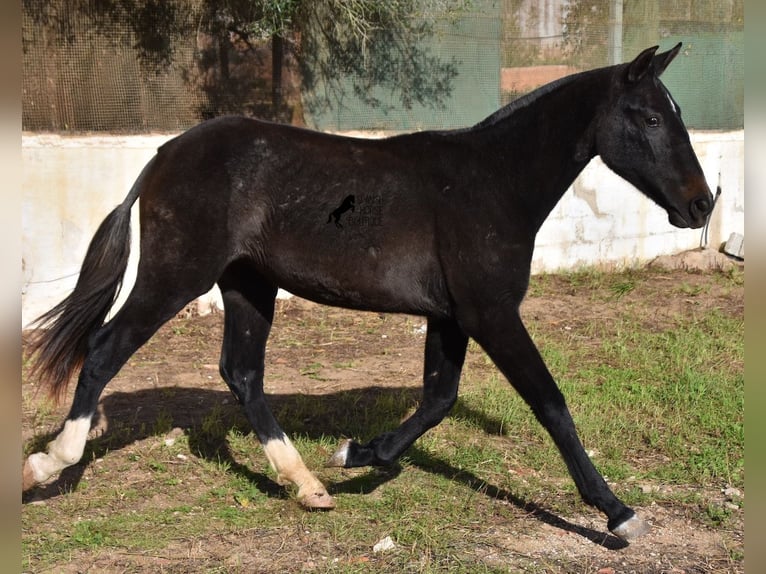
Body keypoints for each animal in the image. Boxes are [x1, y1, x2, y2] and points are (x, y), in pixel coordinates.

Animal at [27, 45, 716, 544]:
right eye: (651, 118)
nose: (701, 205)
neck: (491, 182)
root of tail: (164, 154)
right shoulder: (492, 313)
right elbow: (550, 405)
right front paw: (618, 512)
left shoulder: (450, 317)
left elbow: (438, 400)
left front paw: (358, 453)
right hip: (177, 276)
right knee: (107, 347)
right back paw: (51, 461)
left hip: (249, 285)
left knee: (242, 374)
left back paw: (308, 485)